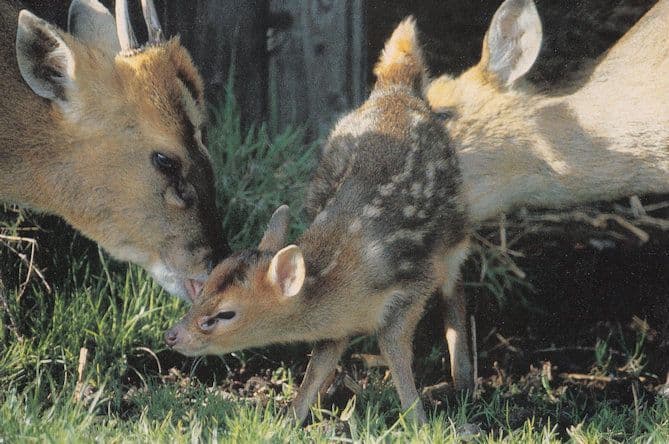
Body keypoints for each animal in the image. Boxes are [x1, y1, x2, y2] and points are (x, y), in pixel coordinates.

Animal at [165, 19, 472, 425]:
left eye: (225, 314)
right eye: (203, 288)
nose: (172, 336)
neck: (347, 276)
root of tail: (397, 88)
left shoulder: (412, 284)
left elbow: (394, 349)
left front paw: (418, 420)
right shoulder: (338, 322)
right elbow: (321, 360)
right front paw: (293, 417)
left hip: (456, 230)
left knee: (456, 287)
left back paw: (464, 378)